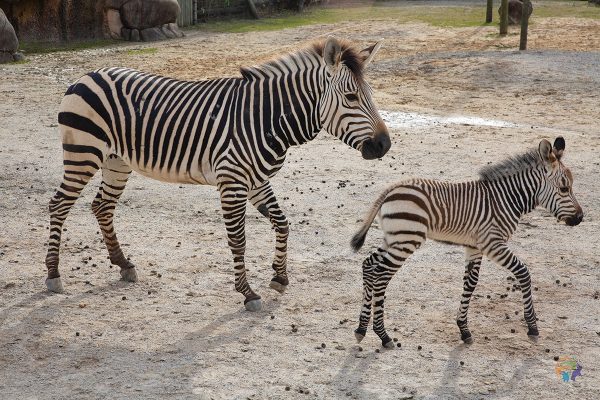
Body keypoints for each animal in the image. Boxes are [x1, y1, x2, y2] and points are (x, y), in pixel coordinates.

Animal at [48, 36, 394, 310]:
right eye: (351, 97)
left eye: (370, 94)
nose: (385, 144)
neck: (266, 118)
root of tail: (87, 75)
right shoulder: (233, 181)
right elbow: (238, 239)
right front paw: (248, 293)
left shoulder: (257, 180)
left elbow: (282, 223)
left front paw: (280, 276)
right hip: (83, 153)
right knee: (59, 205)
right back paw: (53, 275)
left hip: (116, 161)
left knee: (102, 206)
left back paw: (123, 264)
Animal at [352, 138, 580, 346]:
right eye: (564, 188)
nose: (580, 218)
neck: (506, 200)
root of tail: (391, 189)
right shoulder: (492, 244)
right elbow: (523, 273)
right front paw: (532, 326)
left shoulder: (474, 246)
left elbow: (470, 282)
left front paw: (464, 329)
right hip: (406, 239)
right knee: (381, 274)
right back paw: (382, 335)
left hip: (394, 238)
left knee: (369, 265)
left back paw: (362, 328)